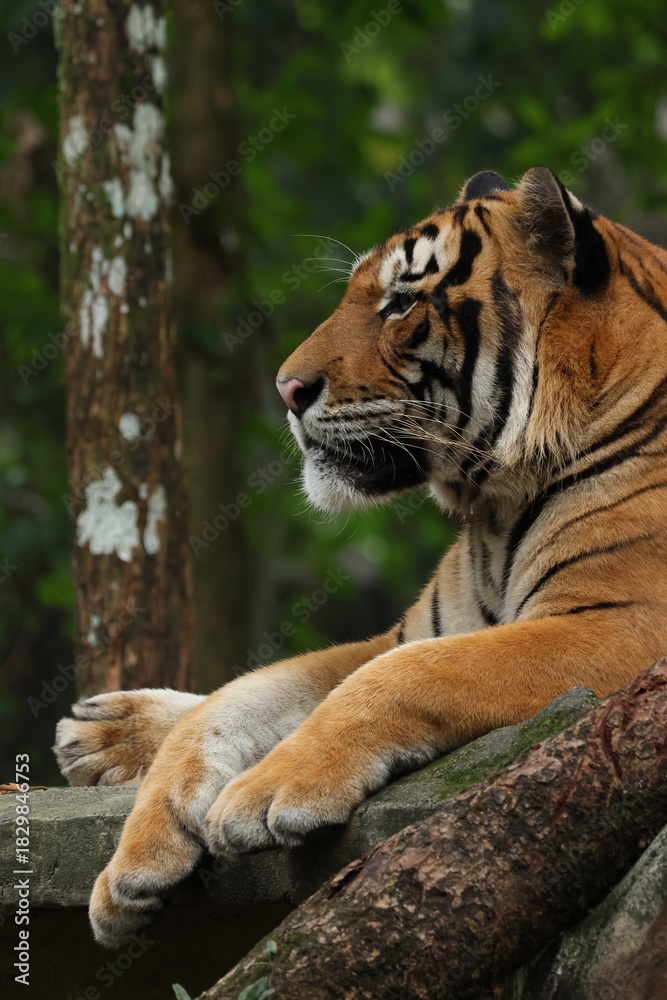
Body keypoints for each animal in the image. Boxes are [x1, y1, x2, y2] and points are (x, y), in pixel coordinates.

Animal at [54, 166, 667, 948]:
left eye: (400, 303)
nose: (286, 390)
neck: (496, 508)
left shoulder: (623, 625)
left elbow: (401, 676)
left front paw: (263, 793)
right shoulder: (413, 628)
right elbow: (248, 694)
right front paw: (135, 862)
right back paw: (100, 732)